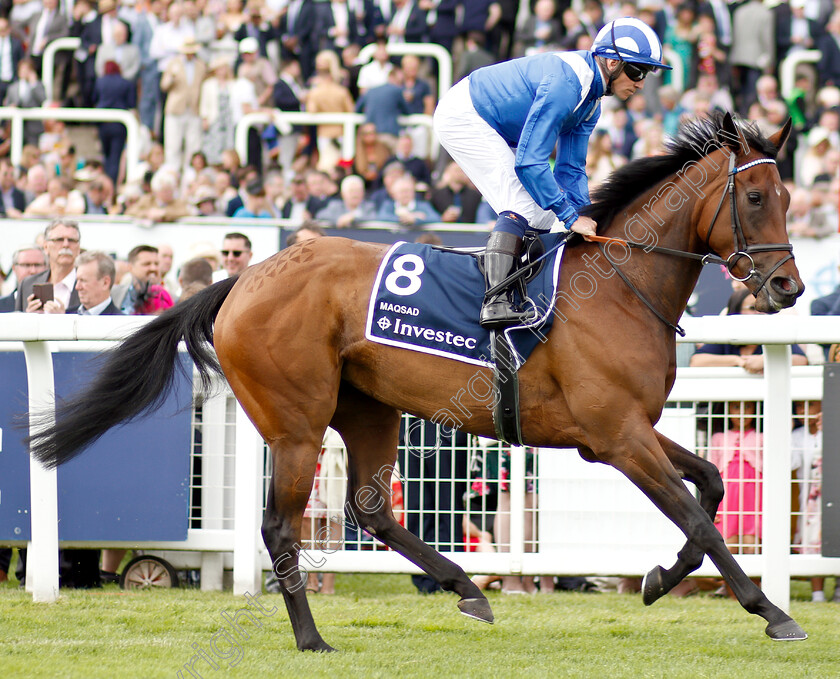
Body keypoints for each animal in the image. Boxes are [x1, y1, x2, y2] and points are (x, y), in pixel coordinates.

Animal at [29, 111, 812, 648]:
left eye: (789, 197)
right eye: (754, 199)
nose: (789, 286)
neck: (620, 284)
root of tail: (246, 277)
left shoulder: (624, 430)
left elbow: (710, 487)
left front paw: (656, 579)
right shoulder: (617, 436)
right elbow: (697, 518)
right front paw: (772, 611)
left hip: (367, 407)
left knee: (371, 510)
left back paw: (467, 588)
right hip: (297, 420)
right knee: (281, 524)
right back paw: (312, 637)